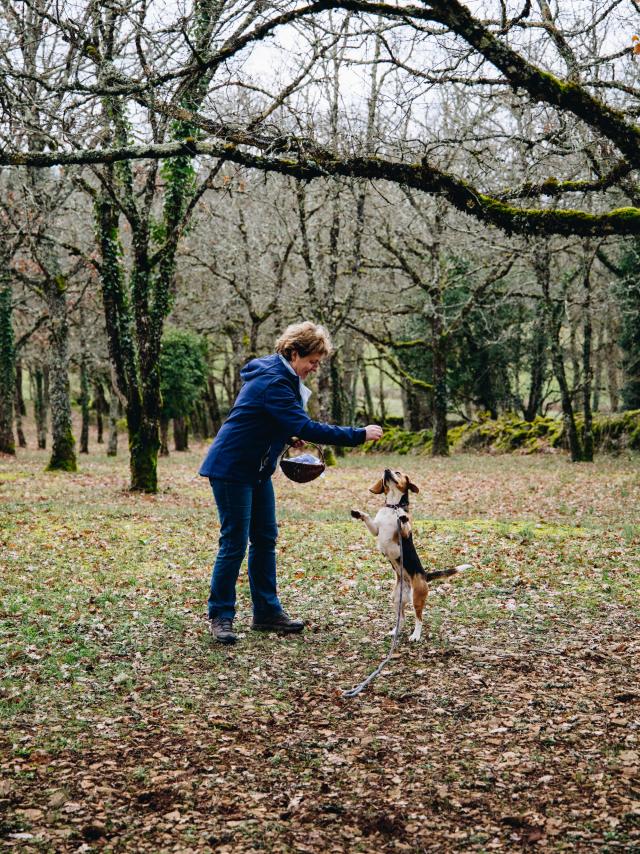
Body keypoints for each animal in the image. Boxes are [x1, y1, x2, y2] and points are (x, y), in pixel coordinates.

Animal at [350, 468, 470, 640]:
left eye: (398, 472)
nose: (386, 470)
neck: (393, 506)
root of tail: (424, 575)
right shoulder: (375, 529)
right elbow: (368, 519)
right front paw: (358, 513)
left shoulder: (404, 534)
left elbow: (405, 524)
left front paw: (403, 518)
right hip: (396, 599)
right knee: (402, 618)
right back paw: (395, 631)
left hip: (417, 598)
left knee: (419, 618)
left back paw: (416, 635)